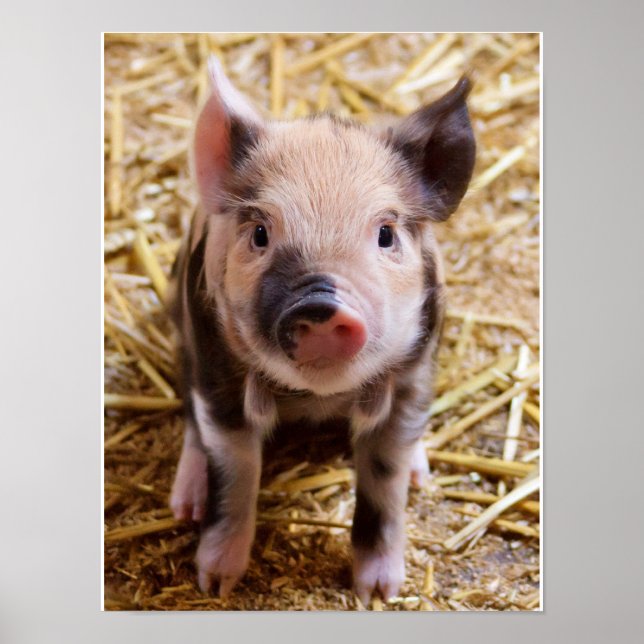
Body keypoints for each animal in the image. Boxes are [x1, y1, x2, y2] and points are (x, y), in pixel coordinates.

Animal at [168, 57, 475, 603]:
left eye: (386, 234)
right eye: (260, 233)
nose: (319, 304)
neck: (317, 398)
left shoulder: (414, 375)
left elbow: (385, 480)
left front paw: (379, 594)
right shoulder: (216, 369)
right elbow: (235, 473)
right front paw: (215, 584)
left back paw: (422, 476)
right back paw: (185, 506)